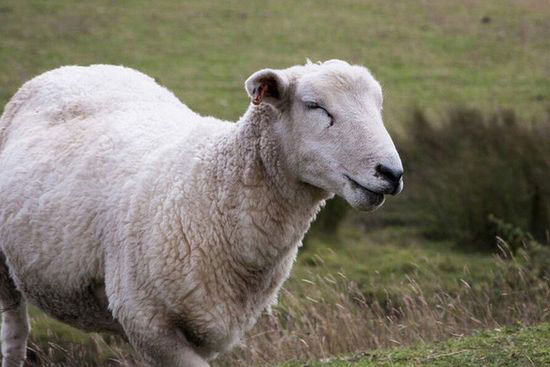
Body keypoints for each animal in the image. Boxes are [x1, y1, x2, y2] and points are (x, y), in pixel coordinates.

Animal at [0, 61, 406, 367]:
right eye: (315, 106)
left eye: (379, 106)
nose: (391, 173)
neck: (210, 188)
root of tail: (74, 68)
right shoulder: (148, 321)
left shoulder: (197, 328)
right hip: (5, 271)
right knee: (15, 332)